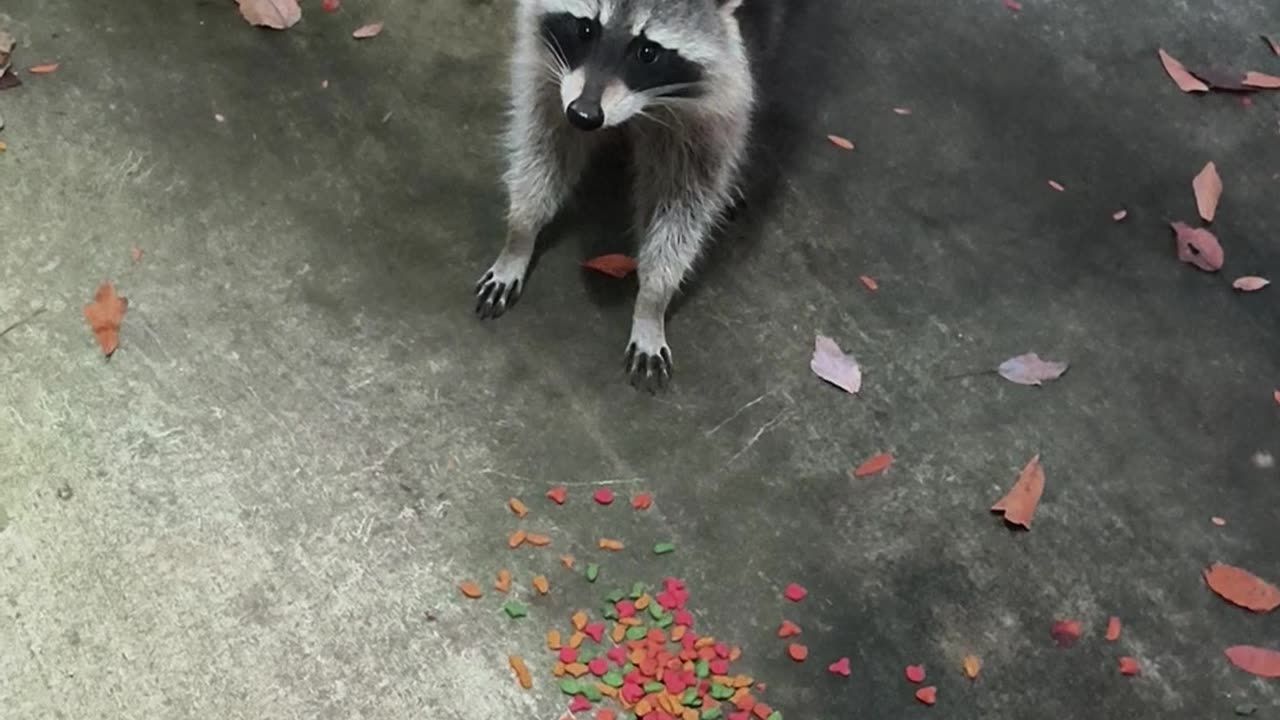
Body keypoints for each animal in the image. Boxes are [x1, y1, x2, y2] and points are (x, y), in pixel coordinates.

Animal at [478, 0, 778, 389]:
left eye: (647, 52)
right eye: (586, 29)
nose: (584, 114)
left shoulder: (712, 110)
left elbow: (682, 206)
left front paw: (653, 299)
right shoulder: (549, 66)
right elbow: (543, 145)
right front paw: (520, 237)